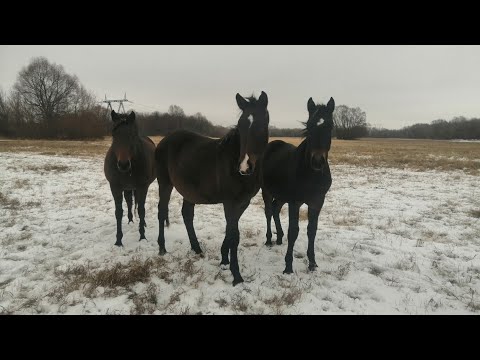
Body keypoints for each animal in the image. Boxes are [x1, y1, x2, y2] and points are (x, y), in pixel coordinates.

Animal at [104, 108, 157, 246]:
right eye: (114, 135)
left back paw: (141, 224)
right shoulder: (115, 187)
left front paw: (142, 237)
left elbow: (141, 210)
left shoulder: (142, 187)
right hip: (127, 188)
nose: (123, 164)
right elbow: (118, 212)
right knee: (129, 201)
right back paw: (130, 221)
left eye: (132, 135)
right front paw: (118, 241)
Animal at [157, 91, 270, 286]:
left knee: (187, 214)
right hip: (164, 184)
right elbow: (234, 235)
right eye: (240, 126)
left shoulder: (243, 202)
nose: (244, 167)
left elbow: (231, 231)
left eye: (262, 125)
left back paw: (196, 248)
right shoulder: (229, 202)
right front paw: (236, 275)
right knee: (162, 211)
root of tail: (165, 140)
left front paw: (224, 259)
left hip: (189, 191)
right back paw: (162, 248)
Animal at [260, 97, 336, 274]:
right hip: (266, 191)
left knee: (275, 209)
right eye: (309, 125)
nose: (317, 161)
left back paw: (279, 238)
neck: (311, 175)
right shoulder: (295, 202)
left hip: (282, 196)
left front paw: (312, 263)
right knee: (268, 211)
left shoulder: (317, 202)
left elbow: (312, 230)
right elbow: (293, 231)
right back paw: (269, 240)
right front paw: (288, 266)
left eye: (330, 126)